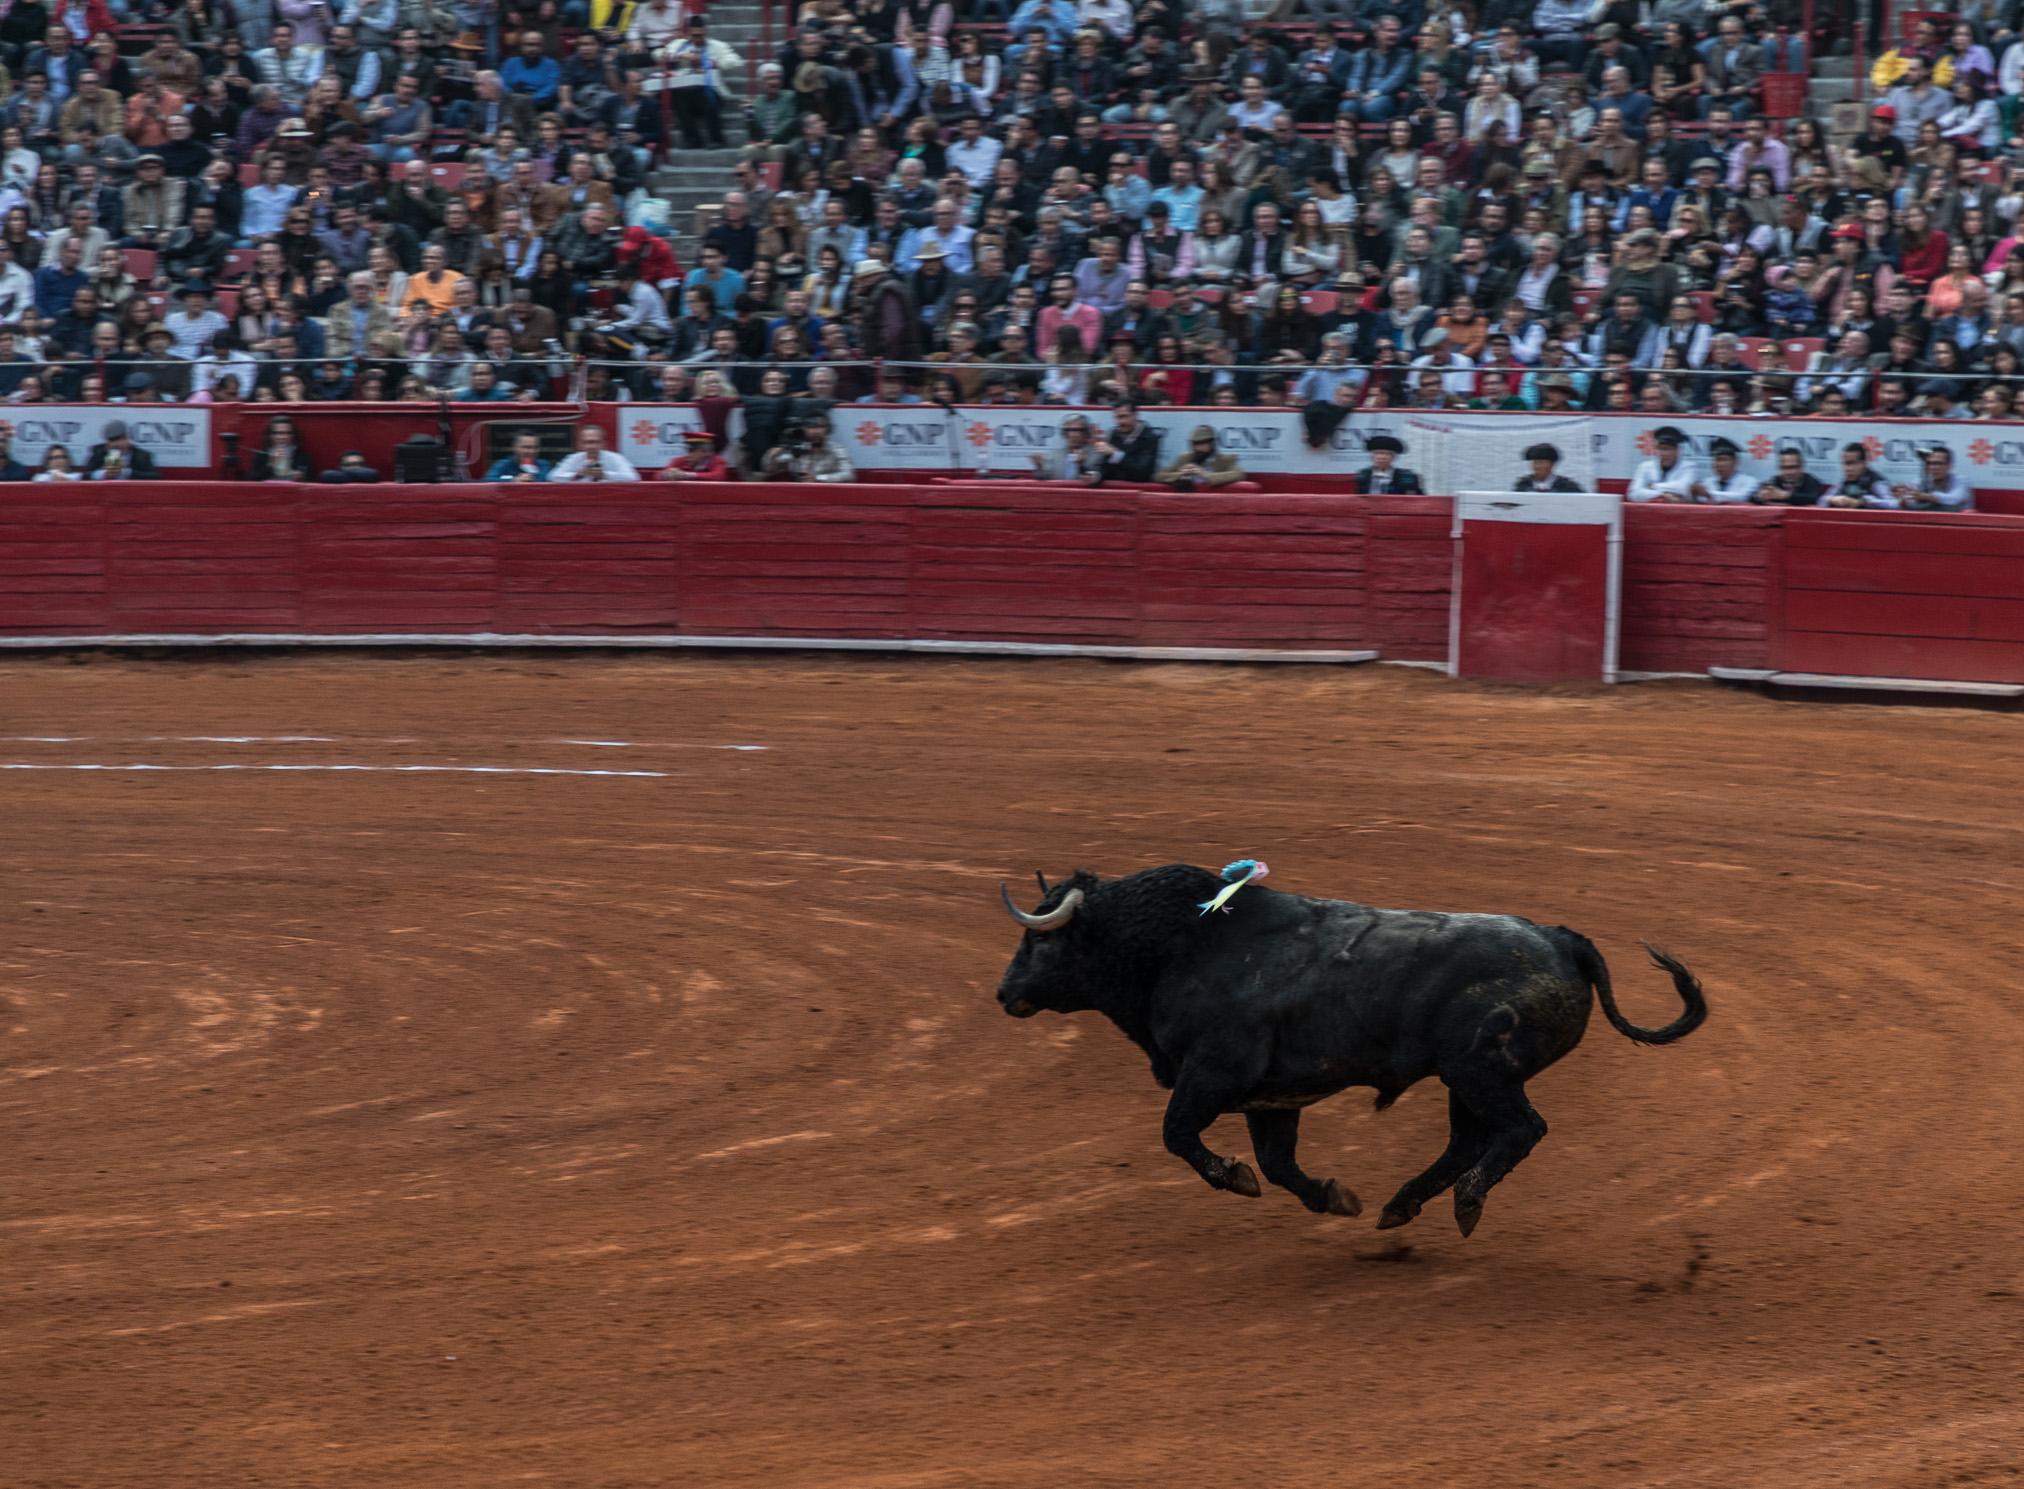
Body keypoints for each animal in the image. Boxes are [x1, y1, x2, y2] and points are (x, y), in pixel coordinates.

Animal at [995, 861, 1708, 1230]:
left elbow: (1177, 1136)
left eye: (1041, 941)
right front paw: (1333, 1197)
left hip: (1481, 1071)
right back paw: (1398, 1205)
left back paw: (1466, 1203)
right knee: (1470, 1141)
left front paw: (1234, 1178)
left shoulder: (1214, 1074)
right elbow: (1278, 1165)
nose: (1005, 994)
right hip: (1466, 1081)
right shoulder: (1270, 1099)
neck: (1182, 946)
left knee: (1519, 1131)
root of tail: (1563, 939)